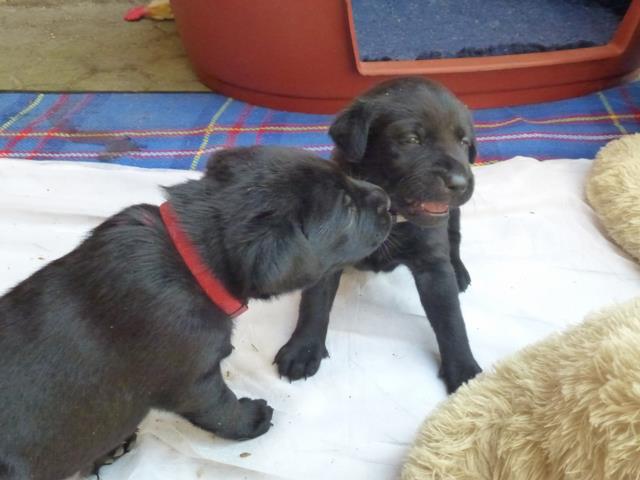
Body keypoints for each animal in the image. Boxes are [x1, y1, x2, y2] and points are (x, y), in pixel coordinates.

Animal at [0, 146, 391, 480]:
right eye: (347, 210)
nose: (387, 200)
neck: (192, 259)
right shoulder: (192, 380)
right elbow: (220, 409)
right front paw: (252, 419)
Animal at [275, 77, 482, 393]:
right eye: (411, 140)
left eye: (464, 142)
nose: (459, 182)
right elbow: (314, 303)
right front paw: (303, 349)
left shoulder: (433, 265)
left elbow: (450, 318)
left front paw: (464, 371)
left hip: (454, 215)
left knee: (455, 239)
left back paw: (458, 269)